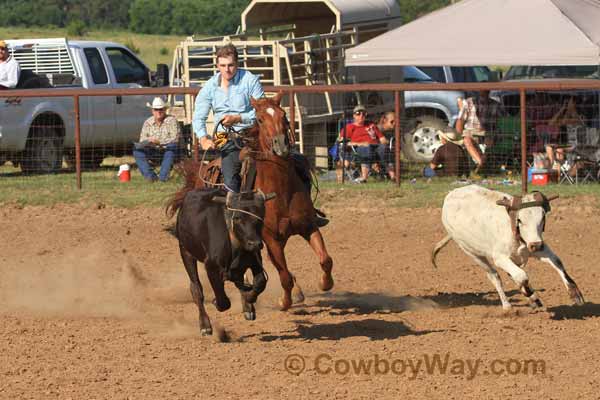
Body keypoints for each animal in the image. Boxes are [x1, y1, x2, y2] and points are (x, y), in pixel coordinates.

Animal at [178, 93, 332, 310]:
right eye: (259, 119)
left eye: (284, 116)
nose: (281, 145)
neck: (281, 188)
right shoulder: (271, 238)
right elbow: (283, 276)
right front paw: (283, 301)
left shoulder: (308, 226)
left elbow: (325, 260)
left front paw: (325, 283)